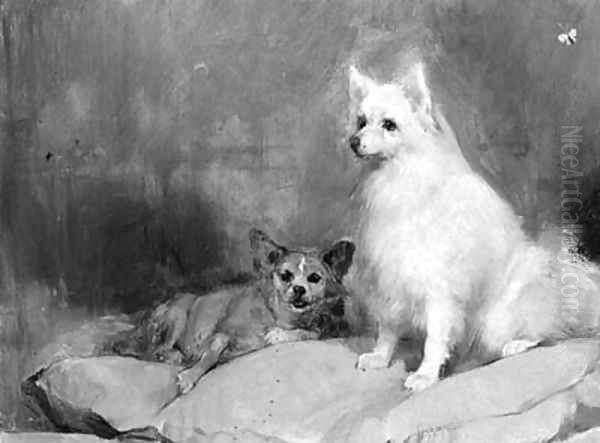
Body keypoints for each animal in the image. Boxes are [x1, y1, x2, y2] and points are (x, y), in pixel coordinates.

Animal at [346, 62, 600, 392]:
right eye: (361, 122)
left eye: (389, 125)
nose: (353, 141)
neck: (399, 180)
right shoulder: (390, 279)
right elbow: (388, 328)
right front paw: (380, 357)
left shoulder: (438, 289)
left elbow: (434, 338)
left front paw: (425, 375)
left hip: (497, 320)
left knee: (543, 333)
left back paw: (515, 345)